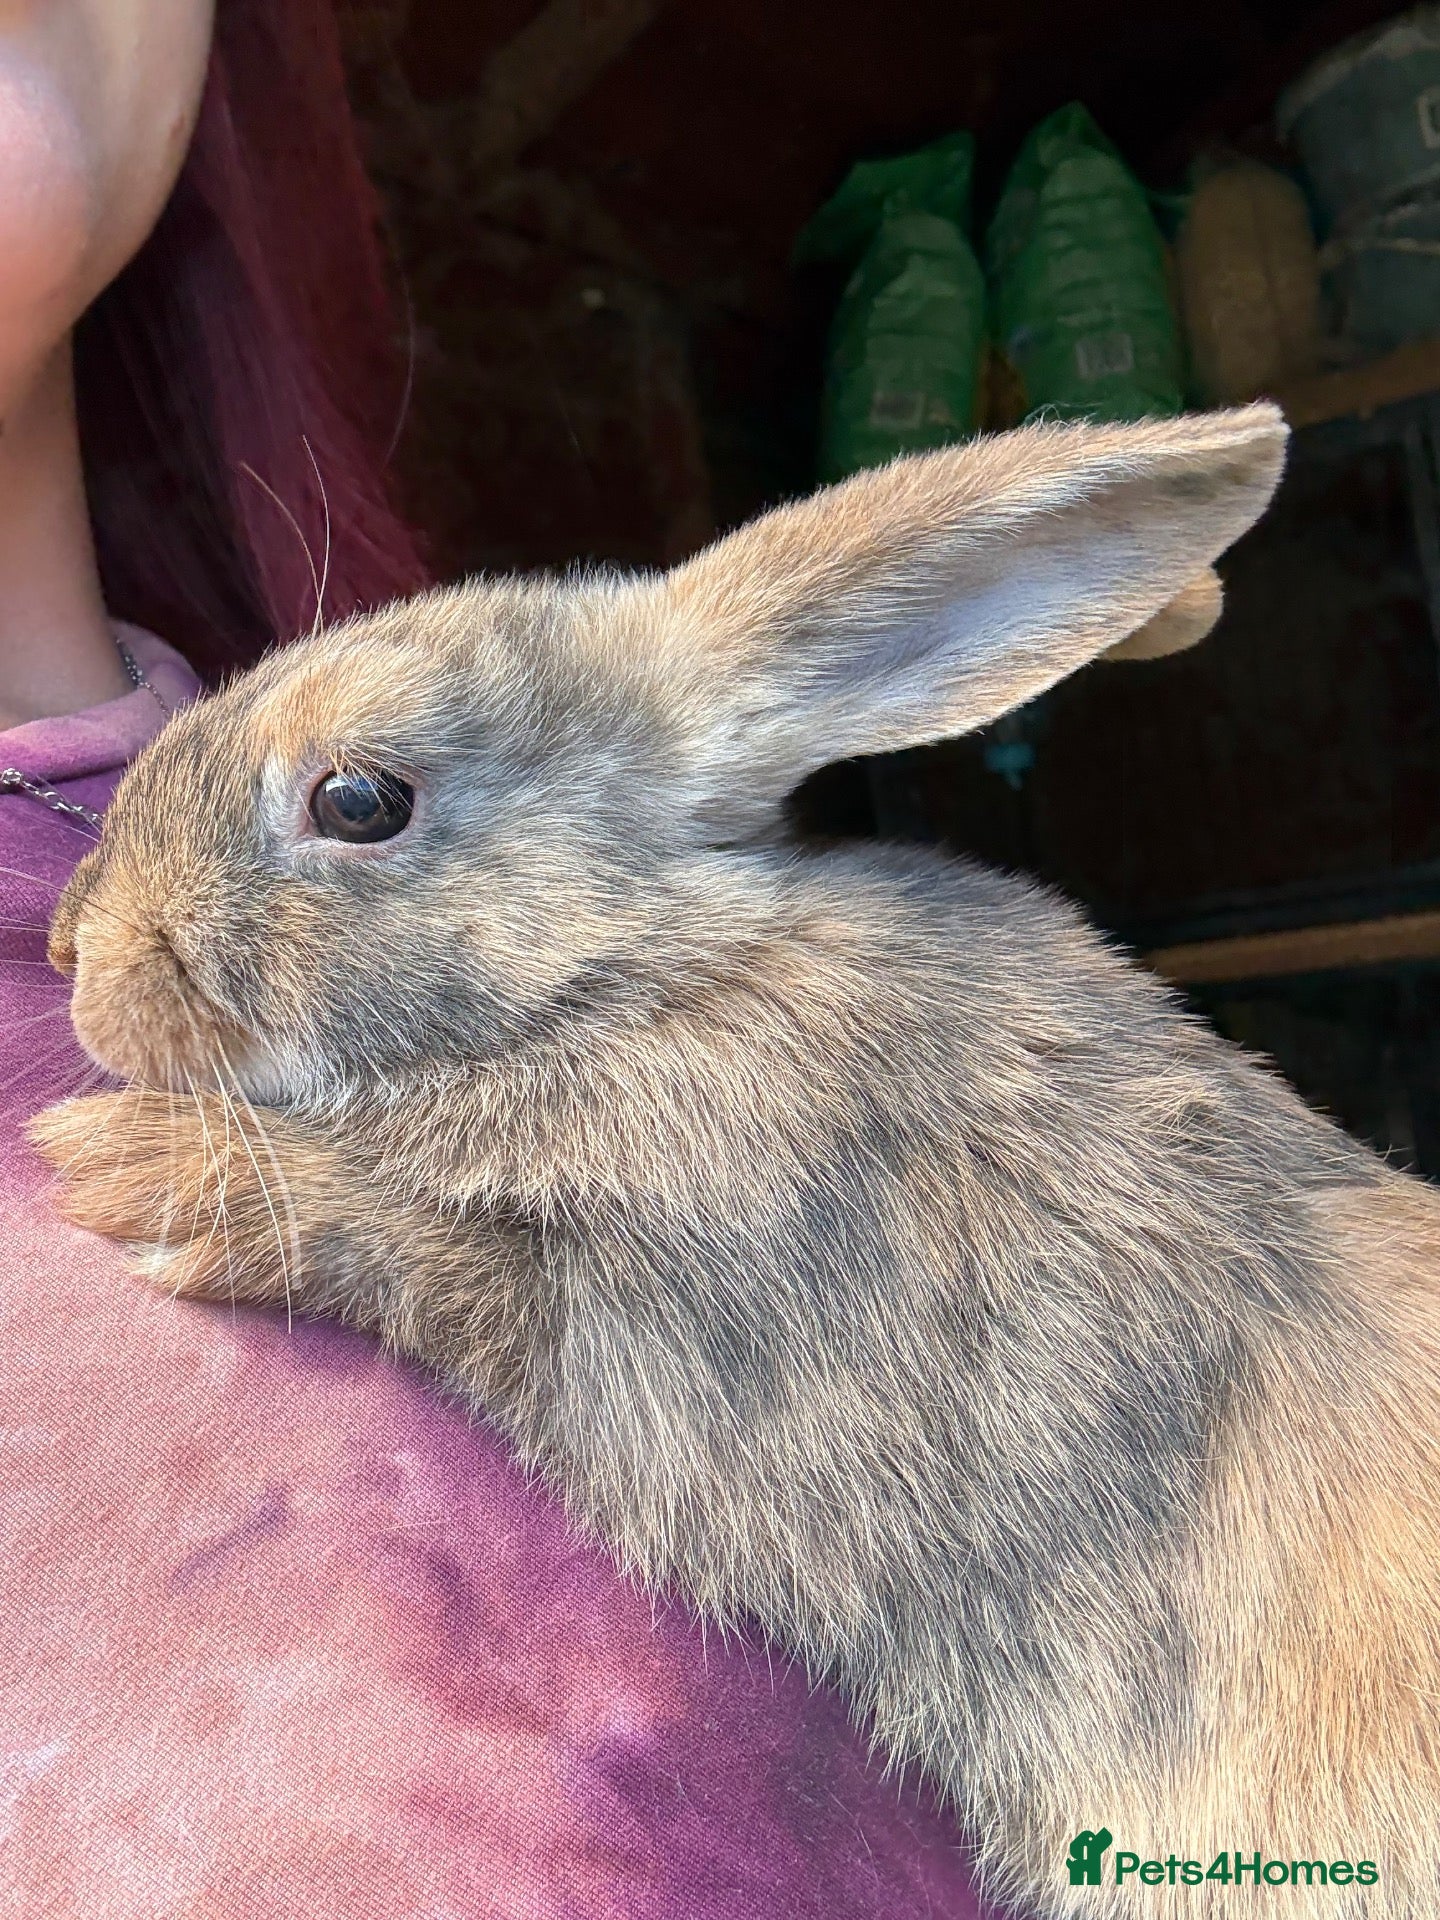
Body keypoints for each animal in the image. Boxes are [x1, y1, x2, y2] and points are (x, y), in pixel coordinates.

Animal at [31, 402, 1440, 1918]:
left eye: (357, 801)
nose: (70, 951)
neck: (633, 977)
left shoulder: (686, 1333)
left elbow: (446, 1260)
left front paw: (129, 1164)